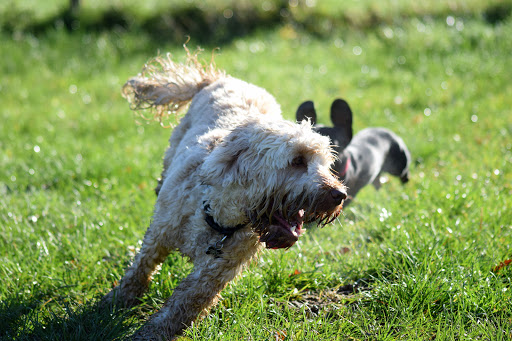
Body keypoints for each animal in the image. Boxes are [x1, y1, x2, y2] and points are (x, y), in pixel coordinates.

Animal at [101, 49, 348, 338]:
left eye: (326, 163)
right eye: (297, 160)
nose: (340, 195)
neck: (219, 218)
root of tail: (220, 79)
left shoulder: (214, 273)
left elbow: (182, 306)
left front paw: (153, 333)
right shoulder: (159, 234)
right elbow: (142, 267)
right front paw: (119, 299)